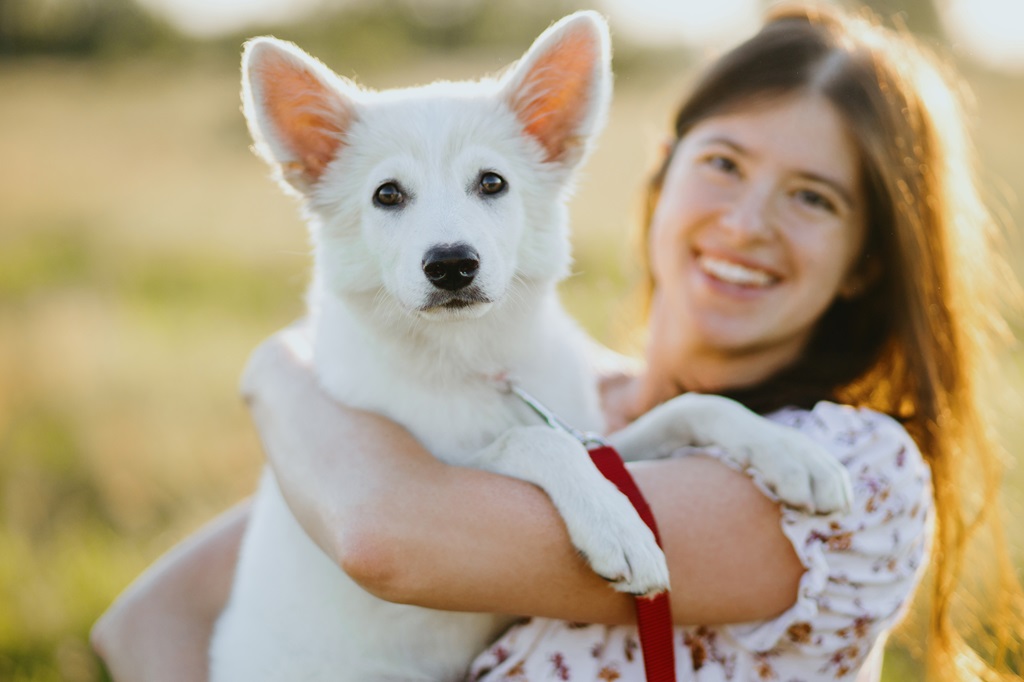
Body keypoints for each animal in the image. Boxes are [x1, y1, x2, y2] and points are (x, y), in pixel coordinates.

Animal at [211, 11, 851, 679]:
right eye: (386, 194)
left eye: (492, 183)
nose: (451, 265)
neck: (479, 361)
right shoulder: (445, 471)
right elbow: (534, 439)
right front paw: (616, 524)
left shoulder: (603, 442)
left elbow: (693, 406)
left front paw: (791, 452)